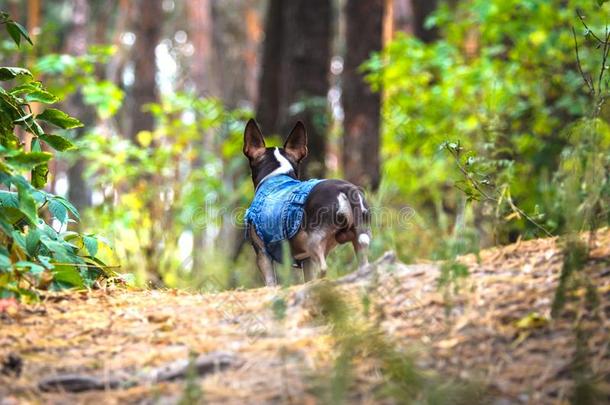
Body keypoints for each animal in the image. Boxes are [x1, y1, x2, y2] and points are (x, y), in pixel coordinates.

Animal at [242, 118, 370, 286]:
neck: (277, 175)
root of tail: (346, 189)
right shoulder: (306, 260)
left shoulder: (263, 253)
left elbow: (270, 282)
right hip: (358, 237)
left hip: (313, 241)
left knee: (323, 267)